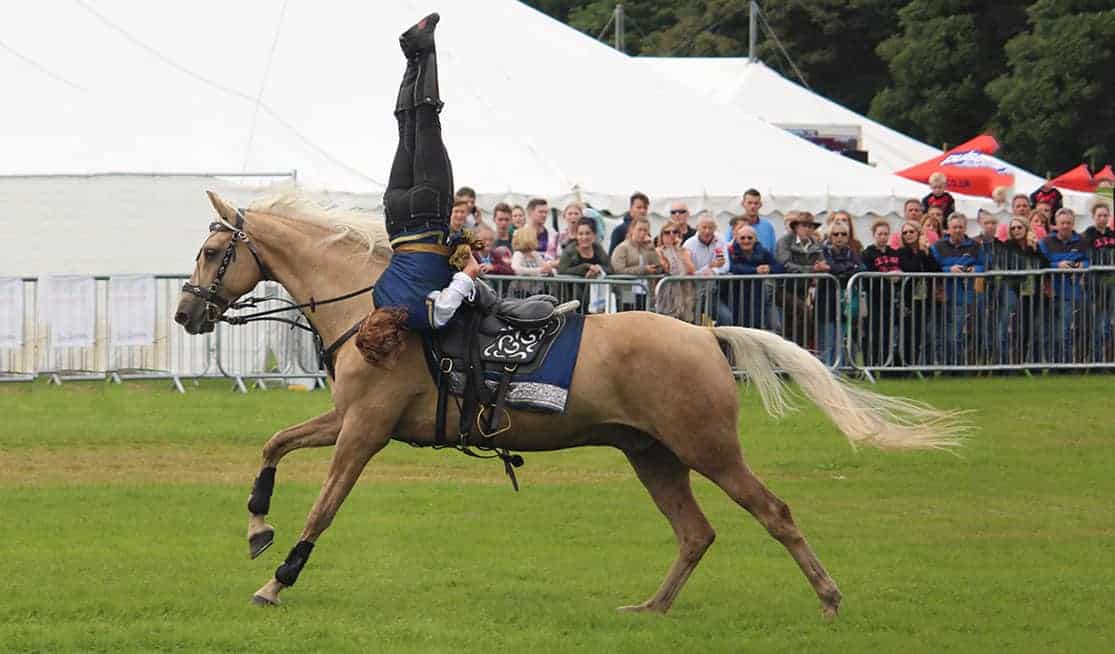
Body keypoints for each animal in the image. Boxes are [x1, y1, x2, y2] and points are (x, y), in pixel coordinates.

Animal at [175, 190, 963, 617]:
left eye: (212, 252)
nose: (185, 313)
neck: (382, 306)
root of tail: (705, 335)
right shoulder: (346, 419)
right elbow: (274, 445)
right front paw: (257, 526)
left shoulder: (363, 430)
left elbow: (323, 507)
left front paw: (278, 581)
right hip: (654, 456)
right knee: (696, 533)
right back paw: (651, 608)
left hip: (707, 450)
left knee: (774, 514)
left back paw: (827, 597)